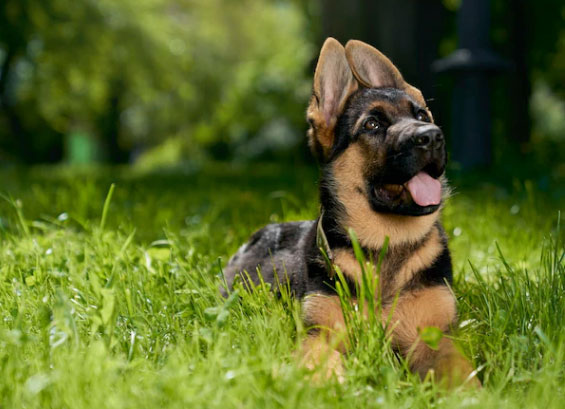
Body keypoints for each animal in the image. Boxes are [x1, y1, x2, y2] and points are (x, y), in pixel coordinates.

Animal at [223, 37, 478, 386]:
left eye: (423, 115)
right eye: (372, 124)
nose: (432, 137)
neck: (386, 242)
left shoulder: (435, 336)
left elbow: (461, 373)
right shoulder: (320, 335)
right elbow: (323, 365)